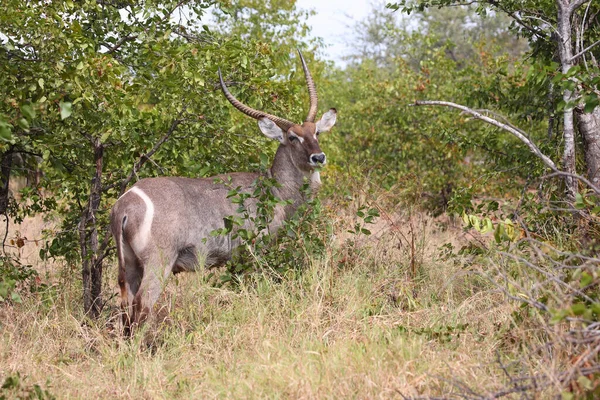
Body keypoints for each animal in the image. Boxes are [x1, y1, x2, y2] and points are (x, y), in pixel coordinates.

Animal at [109, 50, 338, 334]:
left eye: (316, 131)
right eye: (293, 137)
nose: (319, 157)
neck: (274, 188)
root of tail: (125, 204)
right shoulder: (253, 251)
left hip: (128, 264)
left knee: (125, 305)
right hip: (158, 261)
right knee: (143, 303)